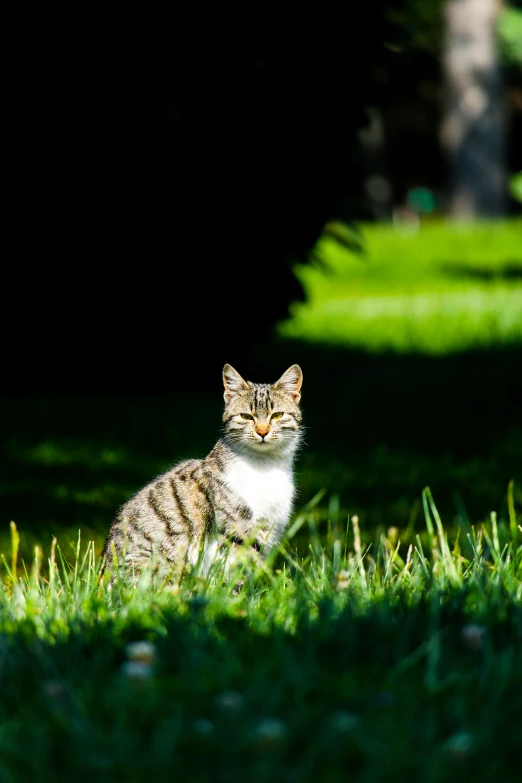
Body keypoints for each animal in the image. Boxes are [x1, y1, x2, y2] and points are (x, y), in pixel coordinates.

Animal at [101, 364, 302, 584]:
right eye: (246, 416)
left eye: (277, 415)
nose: (263, 431)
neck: (265, 466)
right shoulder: (236, 532)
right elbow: (233, 575)